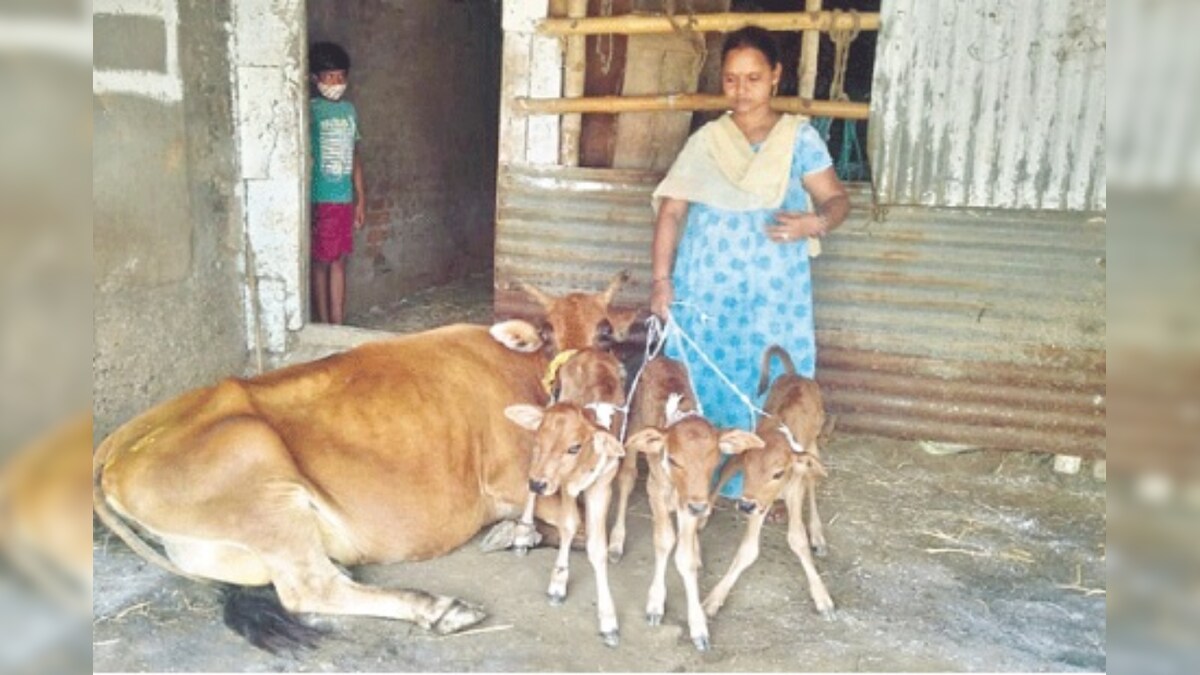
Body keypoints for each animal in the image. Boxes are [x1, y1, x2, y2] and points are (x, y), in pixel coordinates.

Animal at [92, 272, 632, 652]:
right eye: (548, 333)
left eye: (606, 333)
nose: (581, 401)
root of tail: (117, 446)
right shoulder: (511, 480)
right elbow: (579, 528)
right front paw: (517, 534)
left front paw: (515, 534)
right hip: (258, 469)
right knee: (311, 588)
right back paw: (440, 608)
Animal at [623, 357, 764, 651]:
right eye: (673, 459)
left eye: (715, 459)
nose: (700, 508)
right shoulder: (656, 491)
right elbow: (664, 542)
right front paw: (655, 604)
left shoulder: (690, 503)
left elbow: (685, 558)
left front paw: (699, 627)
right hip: (634, 431)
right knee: (626, 476)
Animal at [702, 345, 835, 619]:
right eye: (749, 468)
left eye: (778, 473)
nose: (745, 506)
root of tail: (796, 374)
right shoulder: (754, 493)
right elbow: (747, 549)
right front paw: (715, 598)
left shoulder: (791, 488)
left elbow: (797, 540)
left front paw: (822, 597)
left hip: (813, 449)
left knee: (812, 485)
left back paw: (817, 535)